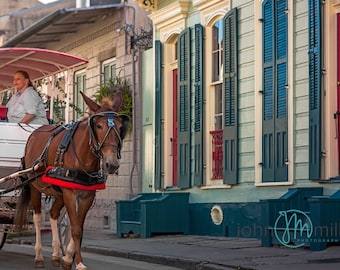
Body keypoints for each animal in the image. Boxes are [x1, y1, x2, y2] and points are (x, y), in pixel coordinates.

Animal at [14, 91, 129, 270]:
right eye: (98, 126)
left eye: (119, 127)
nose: (111, 164)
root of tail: (34, 133)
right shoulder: (70, 194)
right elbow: (75, 229)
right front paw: (77, 262)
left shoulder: (87, 196)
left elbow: (78, 228)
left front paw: (68, 258)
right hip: (35, 186)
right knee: (38, 218)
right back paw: (39, 255)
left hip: (59, 192)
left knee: (53, 214)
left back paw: (55, 254)